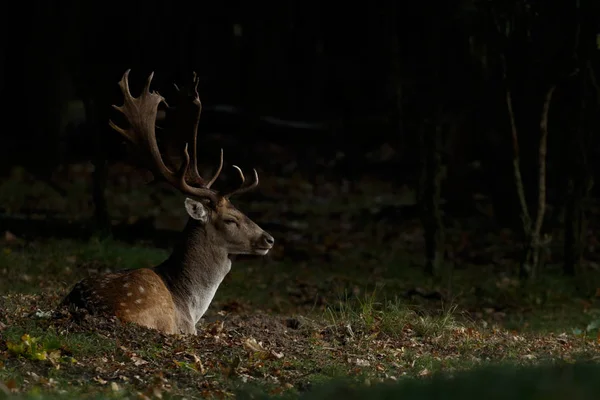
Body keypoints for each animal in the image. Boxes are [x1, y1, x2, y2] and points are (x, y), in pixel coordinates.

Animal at [59, 70, 276, 336]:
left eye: (242, 210)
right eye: (230, 219)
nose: (269, 239)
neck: (190, 306)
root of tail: (83, 308)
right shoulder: (186, 328)